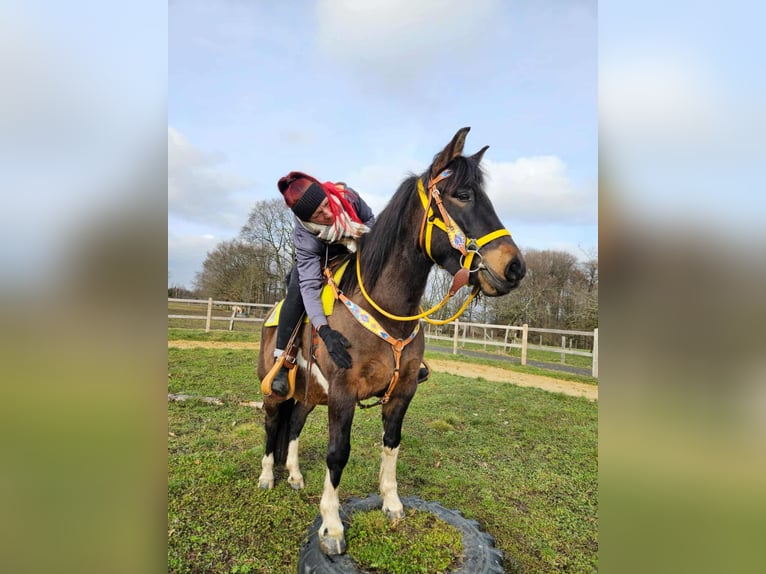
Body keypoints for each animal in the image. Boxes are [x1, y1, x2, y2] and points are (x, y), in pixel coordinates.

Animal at [256, 127, 526, 555]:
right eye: (463, 195)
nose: (515, 267)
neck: (385, 312)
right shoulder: (344, 392)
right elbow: (338, 454)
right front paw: (332, 525)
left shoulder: (402, 390)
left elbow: (392, 443)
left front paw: (392, 504)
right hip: (275, 388)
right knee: (271, 424)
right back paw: (268, 476)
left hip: (311, 393)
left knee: (294, 424)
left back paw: (295, 475)